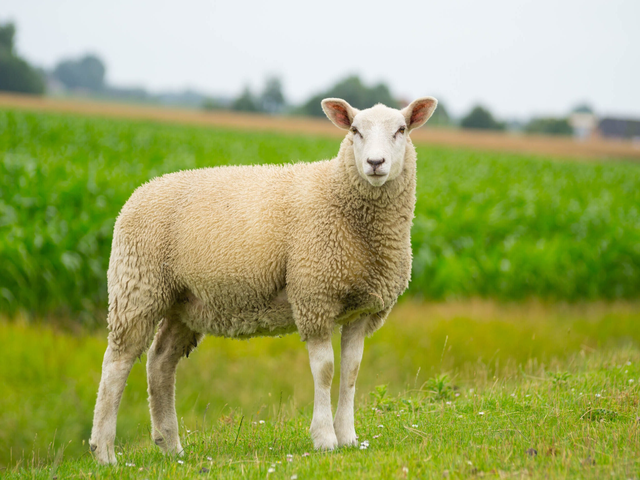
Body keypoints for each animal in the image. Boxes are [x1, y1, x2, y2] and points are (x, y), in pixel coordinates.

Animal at [89, 96, 438, 464]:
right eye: (355, 130)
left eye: (401, 130)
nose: (375, 163)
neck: (338, 195)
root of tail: (138, 193)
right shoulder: (313, 296)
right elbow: (326, 370)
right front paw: (324, 438)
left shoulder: (362, 309)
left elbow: (352, 371)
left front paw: (348, 437)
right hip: (138, 286)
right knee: (116, 363)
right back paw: (104, 451)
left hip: (185, 302)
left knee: (160, 362)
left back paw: (170, 446)